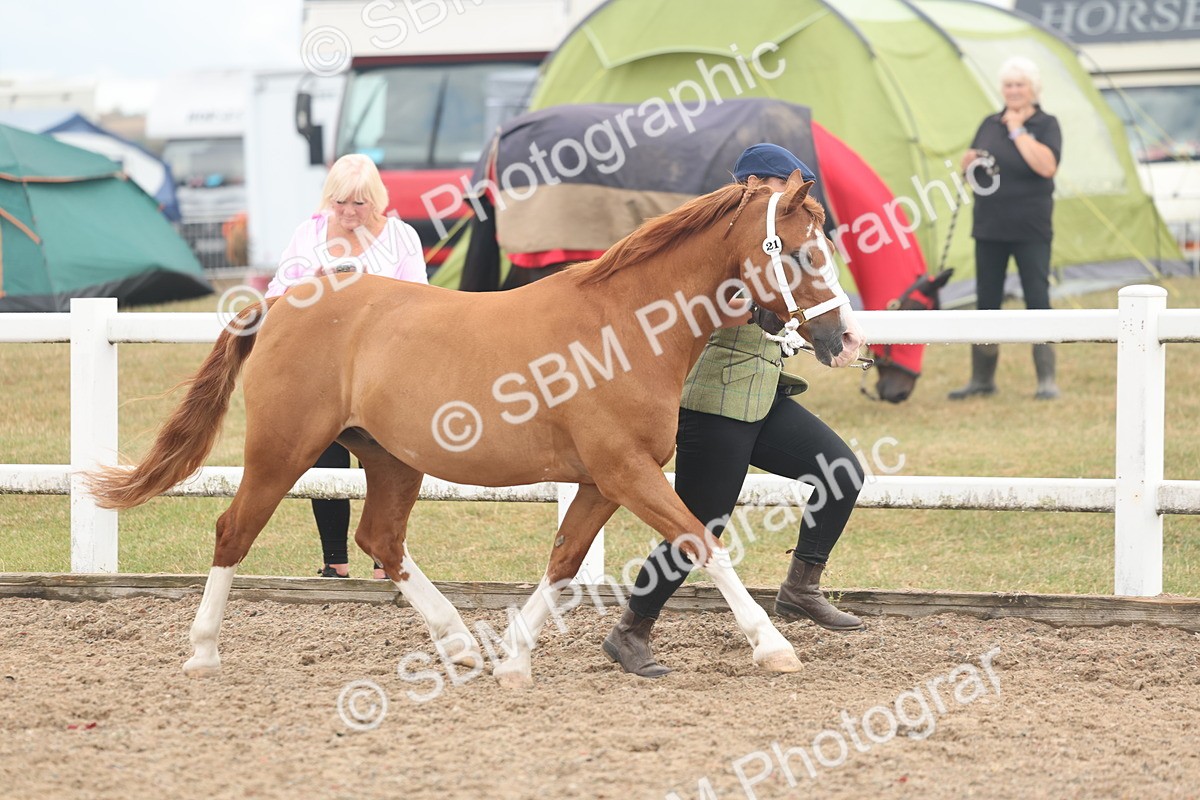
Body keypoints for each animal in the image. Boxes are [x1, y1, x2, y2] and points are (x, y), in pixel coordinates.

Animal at [86, 171, 856, 687]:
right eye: (798, 251)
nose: (844, 340)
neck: (627, 326)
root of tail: (282, 300)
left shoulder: (604, 480)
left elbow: (565, 561)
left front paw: (513, 660)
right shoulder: (627, 472)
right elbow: (703, 544)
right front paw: (773, 646)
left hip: (390, 458)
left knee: (380, 540)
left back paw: (457, 642)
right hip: (283, 451)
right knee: (233, 532)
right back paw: (203, 651)